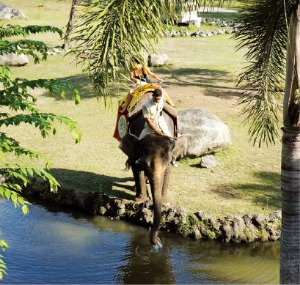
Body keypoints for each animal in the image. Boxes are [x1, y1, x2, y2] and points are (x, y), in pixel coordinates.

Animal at [118, 91, 186, 244]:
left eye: (167, 162)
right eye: (144, 163)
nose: (156, 241)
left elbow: (167, 172)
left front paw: (165, 202)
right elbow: (136, 168)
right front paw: (140, 201)